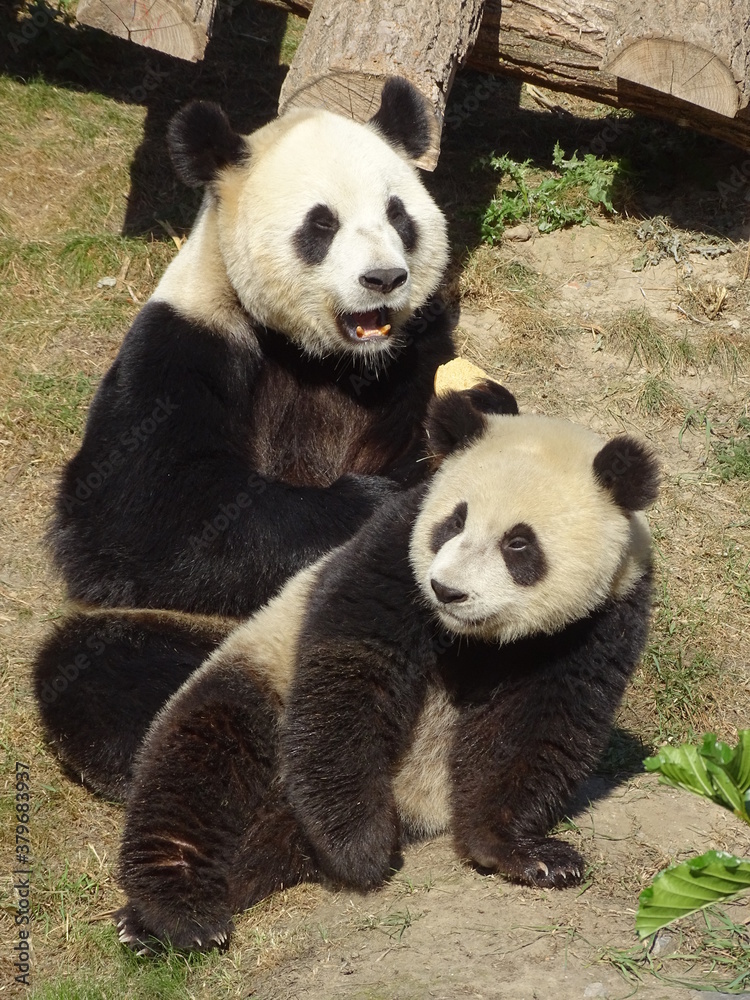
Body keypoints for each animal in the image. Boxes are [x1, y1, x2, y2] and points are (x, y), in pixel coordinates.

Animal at [33, 78, 454, 798]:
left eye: (399, 215)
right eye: (321, 224)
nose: (383, 279)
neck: (329, 359)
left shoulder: (417, 355)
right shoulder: (185, 340)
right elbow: (144, 514)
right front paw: (371, 505)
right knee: (102, 667)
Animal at [113, 384, 659, 954]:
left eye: (518, 542)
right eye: (454, 522)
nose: (447, 590)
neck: (477, 639)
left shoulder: (601, 617)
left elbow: (539, 723)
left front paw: (529, 854)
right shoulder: (393, 551)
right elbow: (353, 675)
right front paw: (362, 848)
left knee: (263, 834)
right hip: (260, 671)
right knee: (199, 760)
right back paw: (175, 914)